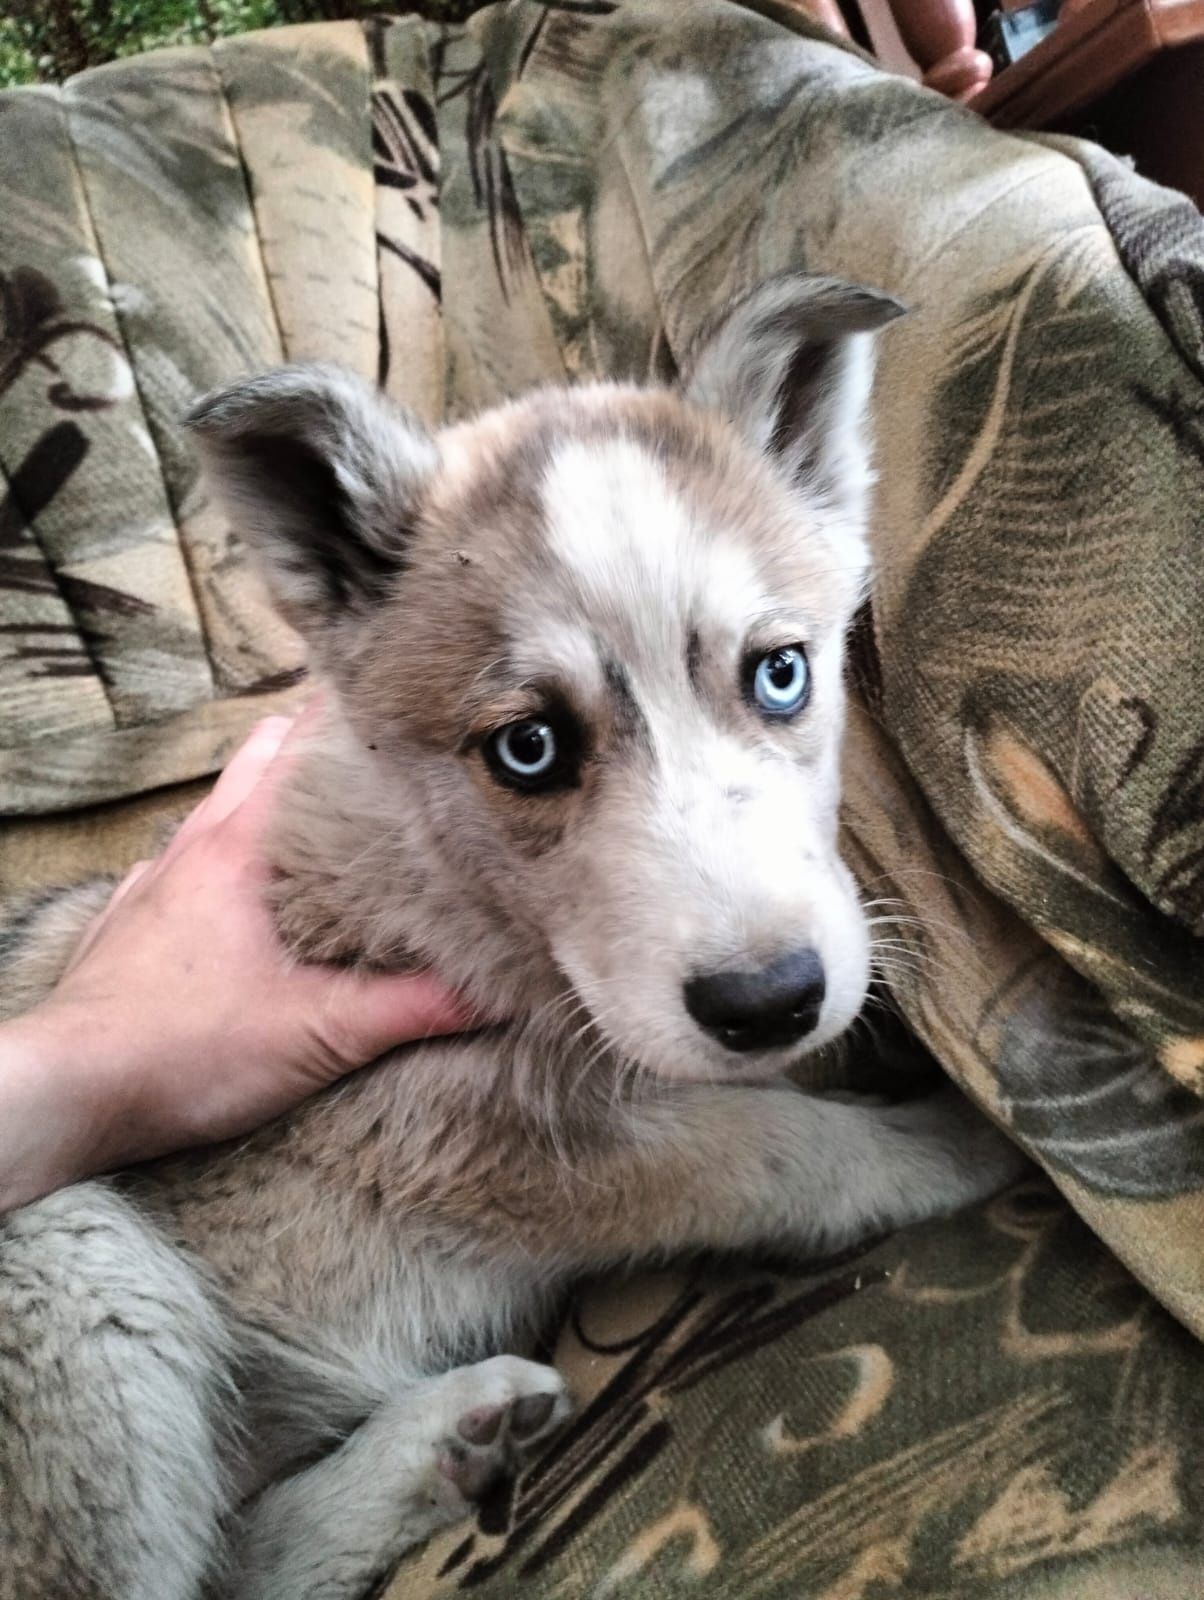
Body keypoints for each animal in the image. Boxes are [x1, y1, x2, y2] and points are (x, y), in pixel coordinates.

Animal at [0, 278, 1024, 1600]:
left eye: (782, 673)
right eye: (527, 749)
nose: (769, 1000)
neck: (467, 891)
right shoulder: (468, 1127)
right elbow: (779, 1146)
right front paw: (950, 1144)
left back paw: (449, 1443)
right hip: (62, 1251)